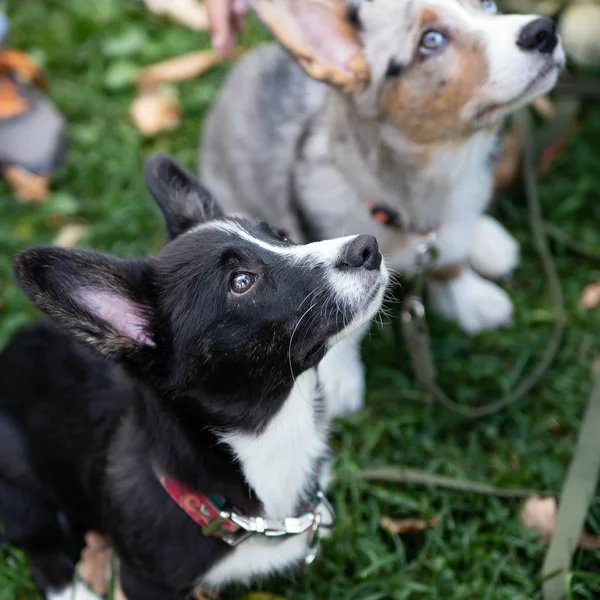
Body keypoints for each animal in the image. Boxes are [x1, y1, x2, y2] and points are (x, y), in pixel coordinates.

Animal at [0, 156, 390, 600]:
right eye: (241, 282)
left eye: (283, 236)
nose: (368, 246)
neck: (271, 435)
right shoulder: (146, 581)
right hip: (20, 493)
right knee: (41, 549)